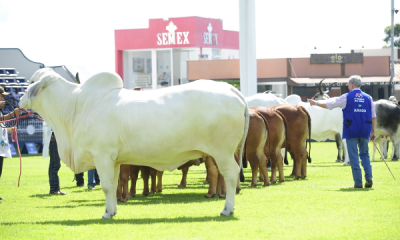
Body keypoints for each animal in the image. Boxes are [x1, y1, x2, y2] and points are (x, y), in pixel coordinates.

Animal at [20, 68, 250, 219]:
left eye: (30, 81)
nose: (20, 99)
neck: (76, 105)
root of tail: (231, 89)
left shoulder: (102, 156)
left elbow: (105, 186)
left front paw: (107, 214)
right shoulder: (113, 161)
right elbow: (113, 185)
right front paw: (112, 211)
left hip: (222, 152)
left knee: (229, 174)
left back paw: (227, 209)